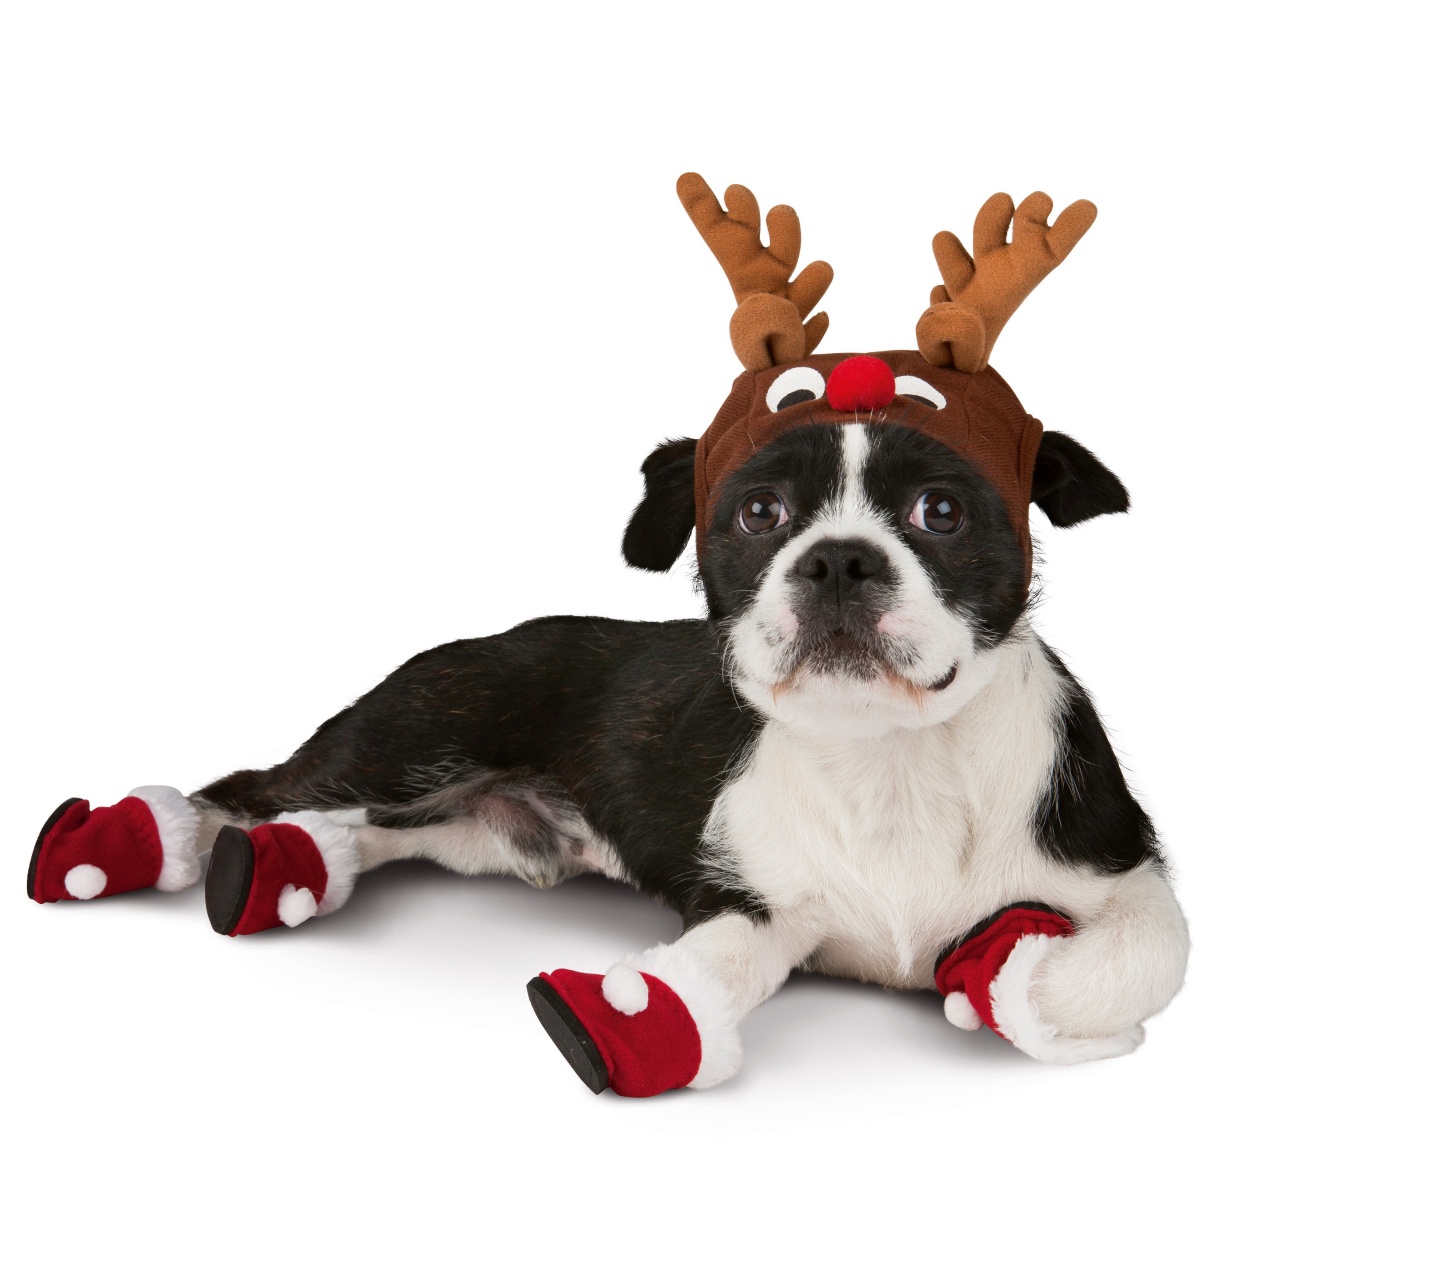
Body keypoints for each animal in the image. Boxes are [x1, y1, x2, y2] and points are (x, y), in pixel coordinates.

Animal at [28, 174, 1186, 1094]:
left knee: (355, 831)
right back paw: (147, 839)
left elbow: (1139, 956)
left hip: (466, 828)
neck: (888, 759)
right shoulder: (750, 899)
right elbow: (716, 966)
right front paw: (632, 1023)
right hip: (408, 735)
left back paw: (289, 867)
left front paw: (995, 981)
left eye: (941, 511)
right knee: (249, 786)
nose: (839, 560)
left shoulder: (1127, 871)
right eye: (758, 512)